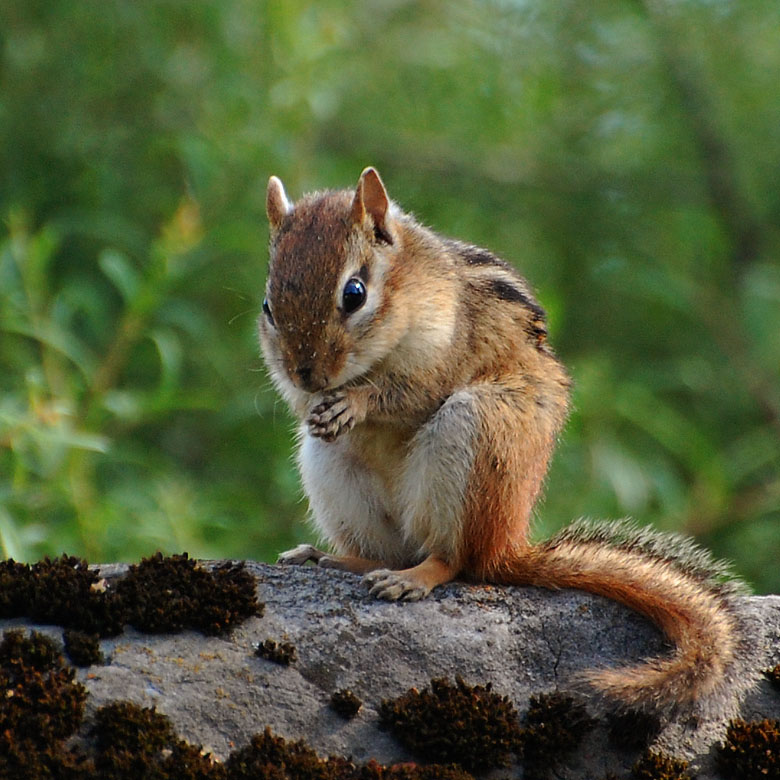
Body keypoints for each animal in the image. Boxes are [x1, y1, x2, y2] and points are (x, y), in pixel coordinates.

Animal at [259, 167, 750, 717]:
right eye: (268, 307)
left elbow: (410, 391)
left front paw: (357, 403)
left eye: (354, 294)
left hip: (475, 428)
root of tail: (508, 545)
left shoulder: (448, 346)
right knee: (391, 550)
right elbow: (303, 407)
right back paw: (335, 558)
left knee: (456, 562)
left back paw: (414, 576)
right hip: (330, 467)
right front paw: (318, 406)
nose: (307, 374)